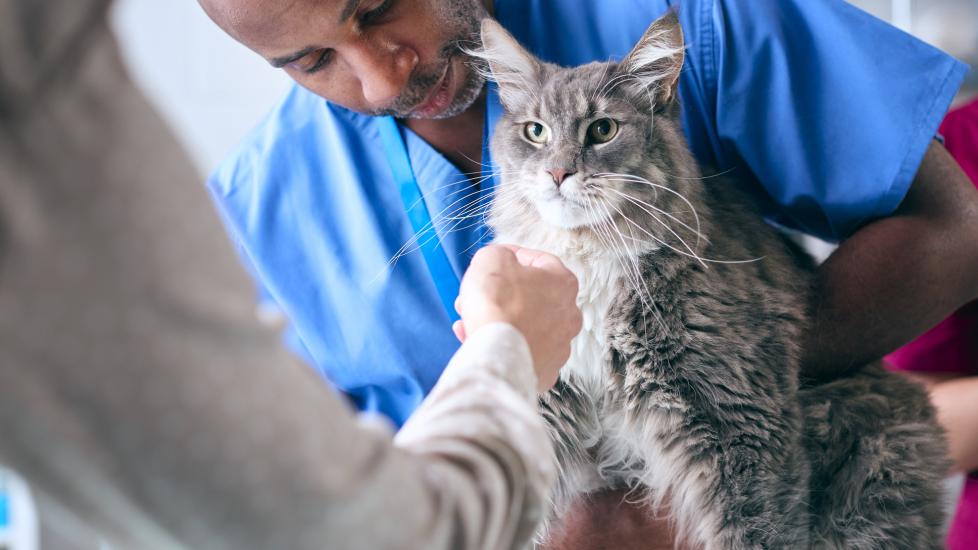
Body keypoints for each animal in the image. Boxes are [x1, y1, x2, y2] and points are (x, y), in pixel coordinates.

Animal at [472, 12, 944, 550]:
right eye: (535, 132)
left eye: (602, 129)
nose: (557, 172)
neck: (588, 258)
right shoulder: (535, 408)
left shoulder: (742, 429)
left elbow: (756, 532)